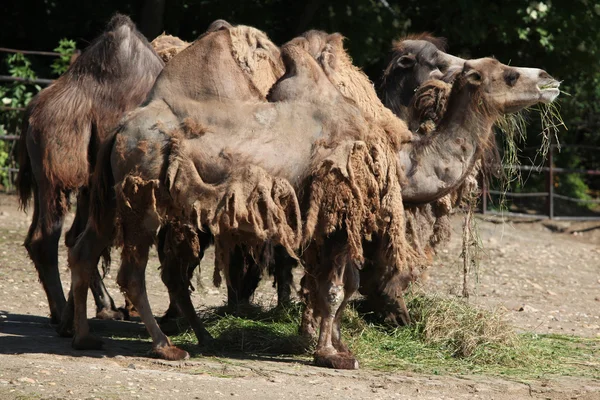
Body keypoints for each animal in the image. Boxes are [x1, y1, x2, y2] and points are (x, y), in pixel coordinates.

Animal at [15, 14, 164, 324]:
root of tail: (32, 110)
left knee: (68, 237)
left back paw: (90, 309)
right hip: (57, 165)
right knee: (48, 237)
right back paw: (65, 315)